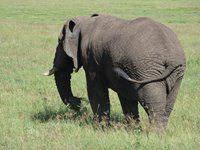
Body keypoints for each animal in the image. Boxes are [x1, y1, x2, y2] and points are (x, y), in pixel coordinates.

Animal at [45, 14, 186, 131]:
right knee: (168, 104)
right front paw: (132, 130)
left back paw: (155, 136)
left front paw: (101, 129)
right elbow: (126, 96)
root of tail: (170, 57)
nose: (79, 102)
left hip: (148, 69)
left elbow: (95, 91)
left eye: (59, 42)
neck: (85, 21)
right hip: (174, 73)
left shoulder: (92, 60)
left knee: (153, 104)